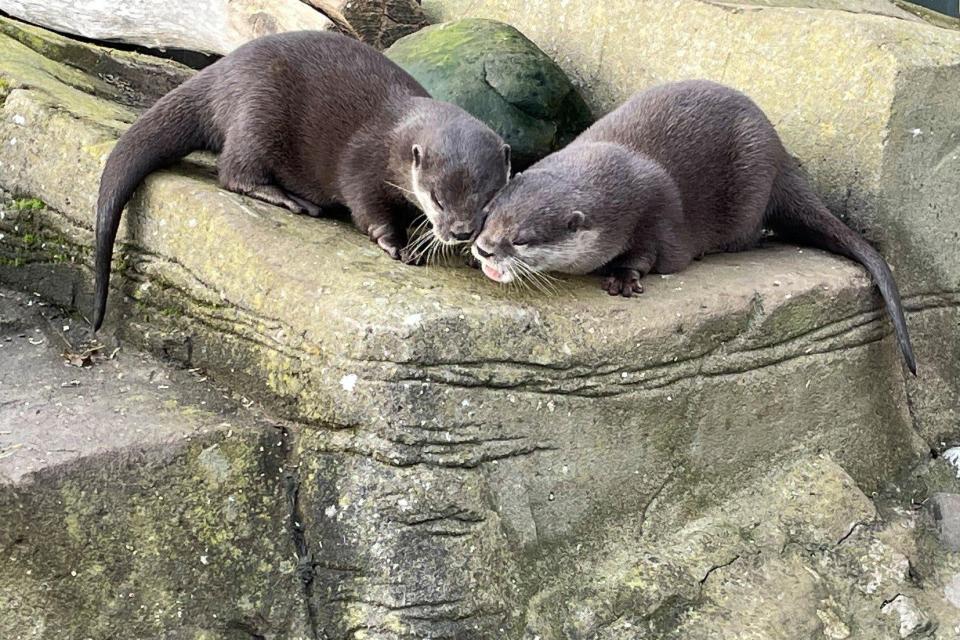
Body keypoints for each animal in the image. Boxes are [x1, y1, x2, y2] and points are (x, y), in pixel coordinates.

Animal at [94, 30, 512, 330]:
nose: (460, 231)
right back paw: (289, 199)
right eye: (437, 198)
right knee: (233, 171)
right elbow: (368, 210)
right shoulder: (363, 165)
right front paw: (396, 243)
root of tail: (219, 72)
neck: (395, 135)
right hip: (257, 114)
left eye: (486, 203)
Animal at [476, 79, 920, 376]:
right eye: (488, 214)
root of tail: (780, 155)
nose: (483, 248)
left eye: (521, 239)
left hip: (751, 185)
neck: (615, 169)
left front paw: (623, 277)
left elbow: (648, 255)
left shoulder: (655, 213)